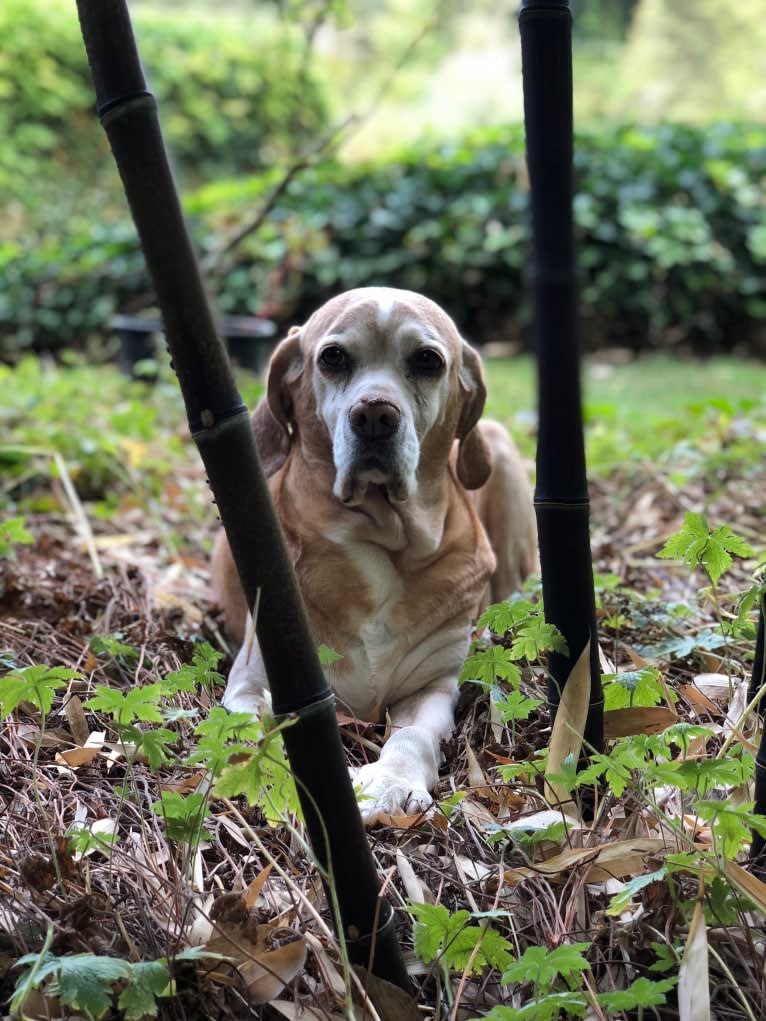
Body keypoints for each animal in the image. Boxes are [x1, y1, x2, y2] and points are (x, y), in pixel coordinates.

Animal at [211, 285, 539, 820]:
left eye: (427, 360)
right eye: (333, 357)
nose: (374, 414)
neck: (382, 539)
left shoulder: (433, 687)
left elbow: (413, 737)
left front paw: (390, 780)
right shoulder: (251, 680)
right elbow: (259, 732)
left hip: (503, 455)